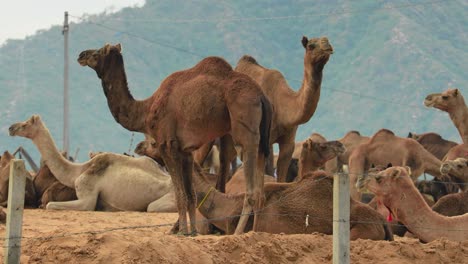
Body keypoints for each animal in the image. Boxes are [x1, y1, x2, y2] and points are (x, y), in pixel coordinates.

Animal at [9, 115, 176, 212]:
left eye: (25, 124)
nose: (11, 128)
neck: (79, 170)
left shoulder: (87, 194)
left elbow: (51, 205)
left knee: (152, 207)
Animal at [78, 43, 272, 235]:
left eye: (98, 52)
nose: (81, 55)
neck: (147, 109)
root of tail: (261, 96)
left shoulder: (167, 146)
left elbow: (180, 194)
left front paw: (182, 232)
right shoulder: (186, 151)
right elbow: (191, 195)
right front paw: (192, 232)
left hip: (245, 127)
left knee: (251, 191)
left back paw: (238, 232)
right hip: (262, 139)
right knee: (260, 189)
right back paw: (255, 232)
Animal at [236, 36, 334, 183]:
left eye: (327, 40)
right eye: (310, 46)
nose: (326, 43)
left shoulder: (289, 142)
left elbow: (281, 175)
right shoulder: (264, 140)